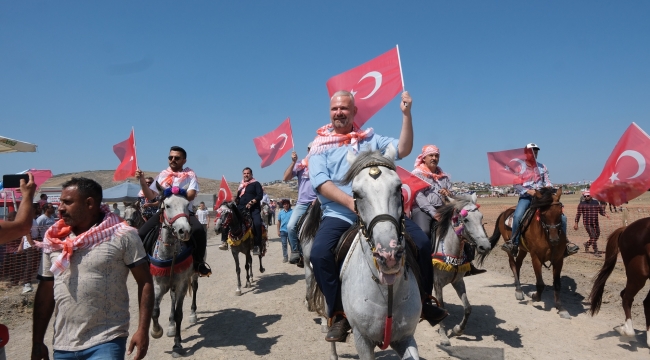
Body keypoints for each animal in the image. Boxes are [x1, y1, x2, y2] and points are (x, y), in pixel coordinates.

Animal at [432, 194, 488, 346]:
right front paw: (444, 336)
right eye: (466, 219)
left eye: (481, 217)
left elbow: (468, 308)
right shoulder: (437, 283)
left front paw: (458, 330)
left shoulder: (458, 281)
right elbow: (442, 307)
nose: (485, 246)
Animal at [476, 188, 568, 318]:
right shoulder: (536, 257)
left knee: (518, 263)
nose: (555, 239)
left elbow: (557, 284)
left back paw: (517, 284)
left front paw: (560, 308)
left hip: (523, 249)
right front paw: (533, 295)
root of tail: (505, 212)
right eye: (543, 214)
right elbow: (540, 284)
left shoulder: (559, 259)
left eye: (560, 213)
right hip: (509, 246)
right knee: (513, 264)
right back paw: (519, 290)